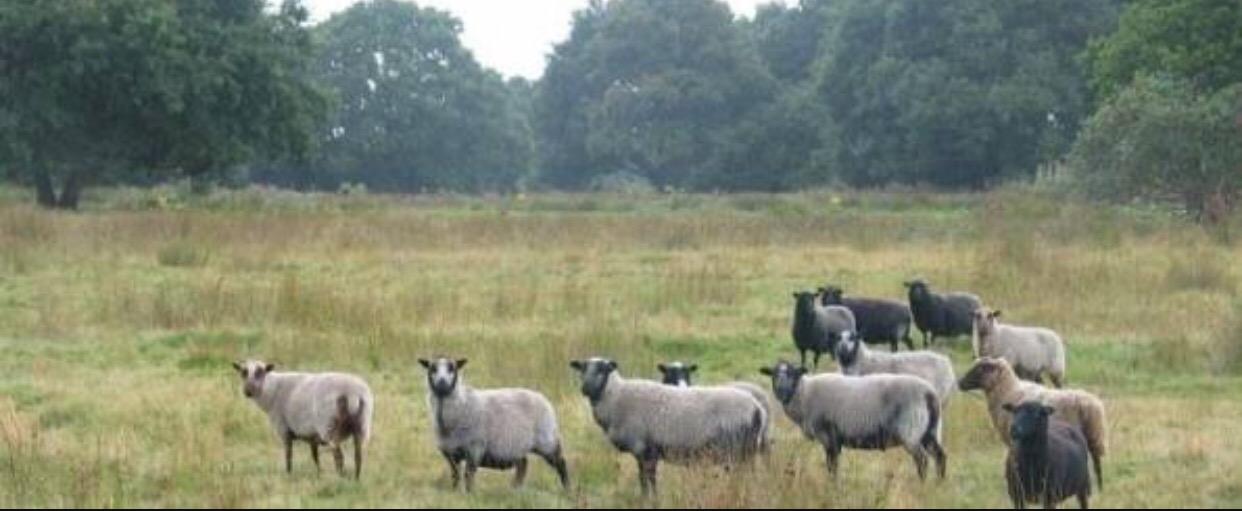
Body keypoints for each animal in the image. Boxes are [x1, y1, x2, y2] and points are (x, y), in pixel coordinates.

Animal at [232, 359, 373, 480]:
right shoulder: (312, 436)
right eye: (243, 372)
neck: (271, 391)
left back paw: (340, 478)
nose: (248, 391)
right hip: (362, 424)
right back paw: (356, 479)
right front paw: (319, 474)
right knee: (358, 455)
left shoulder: (284, 430)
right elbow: (315, 456)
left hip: (329, 425)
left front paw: (288, 474)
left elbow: (288, 455)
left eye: (260, 372)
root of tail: (352, 393)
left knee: (339, 455)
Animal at [418, 357, 569, 492]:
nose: (442, 381)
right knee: (523, 465)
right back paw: (515, 489)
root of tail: (542, 397)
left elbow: (468, 475)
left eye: (452, 368)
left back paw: (567, 489)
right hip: (517, 445)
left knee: (560, 462)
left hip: (547, 440)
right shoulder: (449, 452)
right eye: (433, 368)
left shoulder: (474, 448)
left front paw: (469, 494)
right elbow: (455, 475)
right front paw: (454, 492)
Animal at [570, 357, 766, 497]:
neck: (616, 396)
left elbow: (647, 480)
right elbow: (645, 480)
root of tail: (757, 408)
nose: (585, 388)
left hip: (738, 450)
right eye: (582, 369)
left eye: (602, 370)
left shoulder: (645, 450)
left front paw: (650, 500)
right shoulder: (645, 453)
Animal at [758, 360, 946, 480]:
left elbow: (832, 467)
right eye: (773, 375)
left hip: (910, 431)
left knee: (923, 460)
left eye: (792, 374)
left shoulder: (829, 437)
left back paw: (922, 485)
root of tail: (929, 393)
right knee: (940, 456)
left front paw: (833, 487)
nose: (781, 392)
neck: (805, 393)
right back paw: (939, 485)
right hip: (930, 430)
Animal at [958, 357, 1106, 490]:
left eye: (980, 369)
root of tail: (1087, 404)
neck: (1008, 391)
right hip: (1095, 436)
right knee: (1097, 462)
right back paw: (1100, 488)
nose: (959, 383)